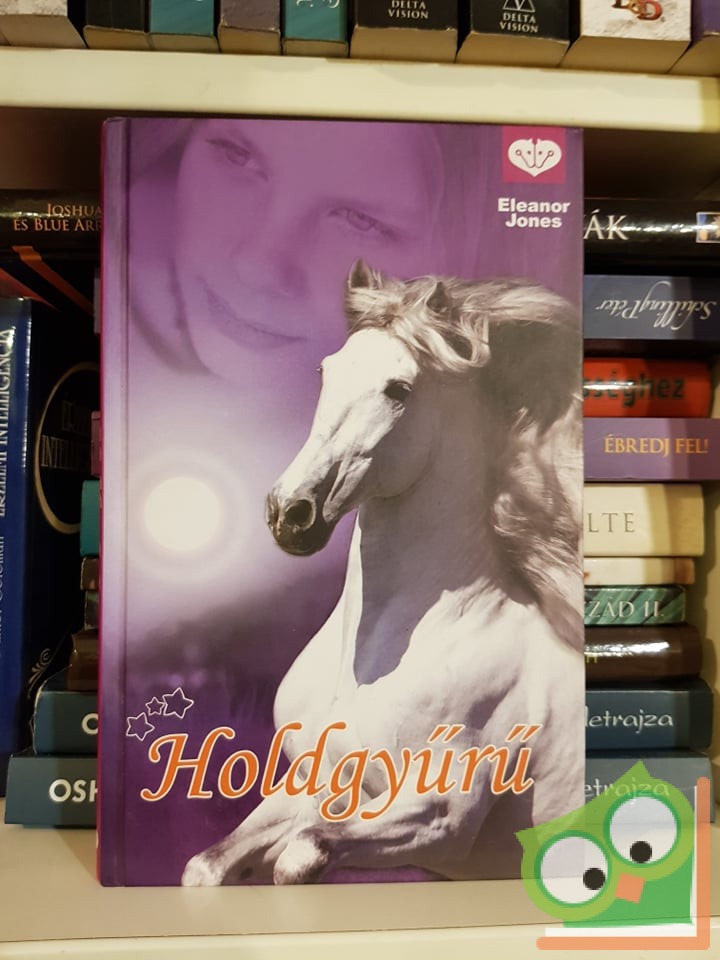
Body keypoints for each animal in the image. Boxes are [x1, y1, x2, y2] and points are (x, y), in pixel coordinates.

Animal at [182, 259, 584, 886]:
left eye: (399, 390)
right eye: (327, 371)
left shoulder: (443, 818)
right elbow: (207, 867)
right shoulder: (309, 784)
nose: (290, 513)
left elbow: (299, 855)